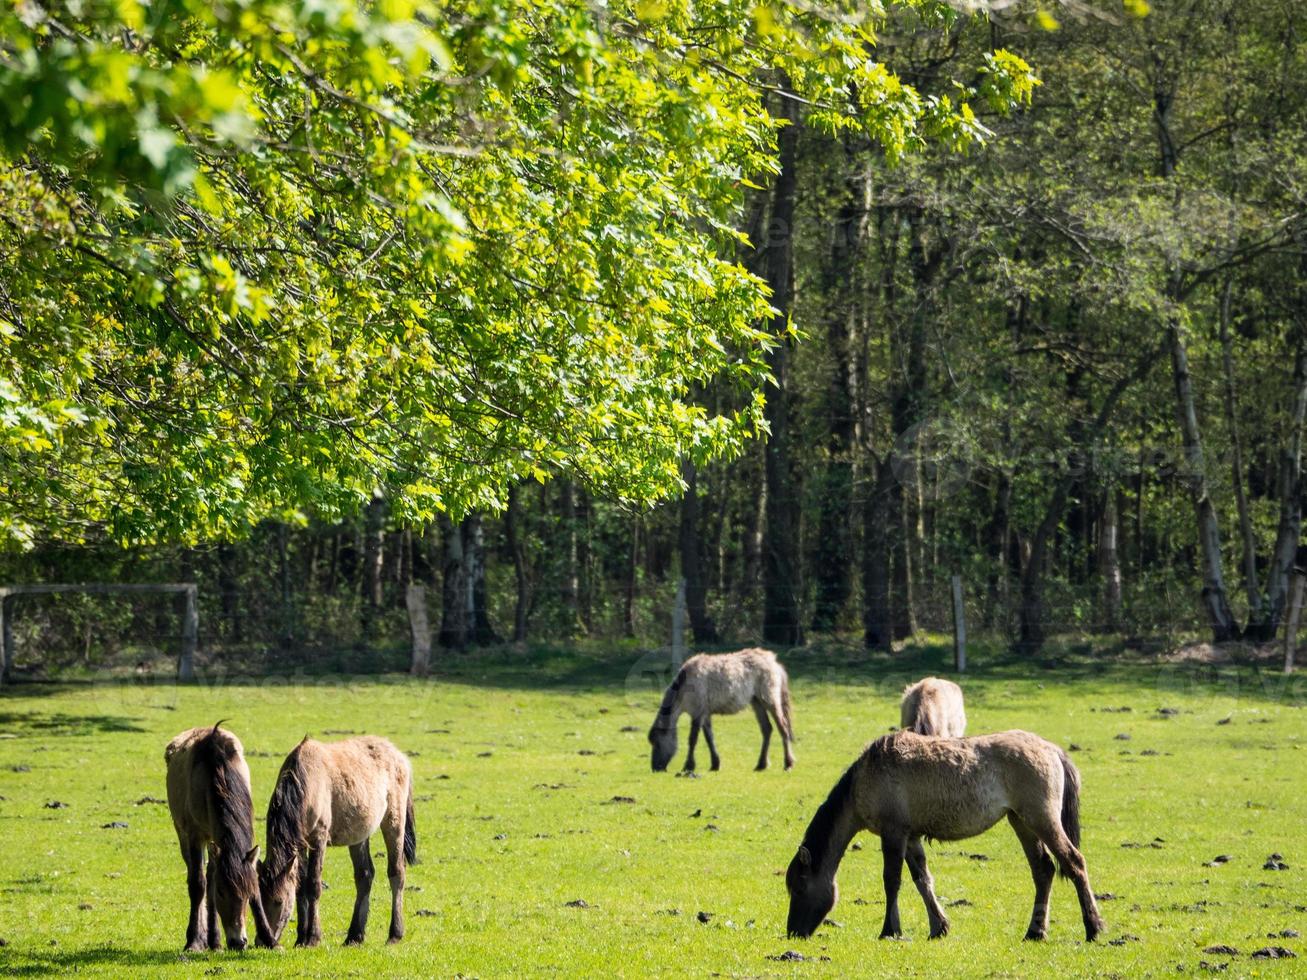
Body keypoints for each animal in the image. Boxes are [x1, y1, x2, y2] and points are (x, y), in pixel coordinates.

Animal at [165, 721, 275, 951]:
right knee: (198, 877)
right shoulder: (195, 835)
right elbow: (198, 885)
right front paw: (193, 941)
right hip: (185, 835)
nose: (238, 941)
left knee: (211, 873)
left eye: (247, 894)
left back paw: (214, 940)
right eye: (222, 892)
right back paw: (203, 938)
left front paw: (270, 939)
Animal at [257, 736, 415, 946]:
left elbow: (313, 884)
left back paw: (395, 934)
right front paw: (300, 938)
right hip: (359, 835)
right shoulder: (301, 844)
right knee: (365, 875)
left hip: (394, 820)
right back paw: (354, 935)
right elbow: (300, 886)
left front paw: (313, 937)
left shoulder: (319, 837)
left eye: (278, 901)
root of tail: (399, 756)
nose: (262, 941)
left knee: (396, 872)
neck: (304, 783)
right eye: (259, 899)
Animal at [645, 648, 789, 778]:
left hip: (769, 701)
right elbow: (709, 738)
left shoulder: (697, 714)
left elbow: (693, 740)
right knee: (767, 729)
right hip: (757, 703)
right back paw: (761, 765)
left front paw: (688, 766)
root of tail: (773, 661)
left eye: (658, 743)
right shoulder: (705, 714)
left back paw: (788, 763)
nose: (655, 768)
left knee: (783, 727)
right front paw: (715, 764)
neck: (685, 685)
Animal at [784, 731, 1103, 946]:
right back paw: (1035, 932)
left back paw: (1094, 927)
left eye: (799, 887)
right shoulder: (911, 837)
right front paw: (939, 926)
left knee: (1074, 863)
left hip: (1041, 819)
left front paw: (890, 930)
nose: (793, 932)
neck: (866, 778)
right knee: (1043, 870)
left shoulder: (893, 833)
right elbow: (922, 880)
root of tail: (1052, 749)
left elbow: (892, 881)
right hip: (1020, 821)